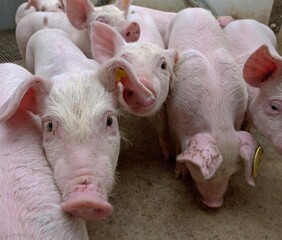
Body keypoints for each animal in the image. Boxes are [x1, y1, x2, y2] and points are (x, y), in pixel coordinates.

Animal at [165, 8, 260, 207]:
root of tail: (193, 8)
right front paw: (179, 175)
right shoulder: (173, 115)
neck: (218, 116)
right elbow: (178, 148)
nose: (214, 203)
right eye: (200, 173)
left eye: (231, 173)